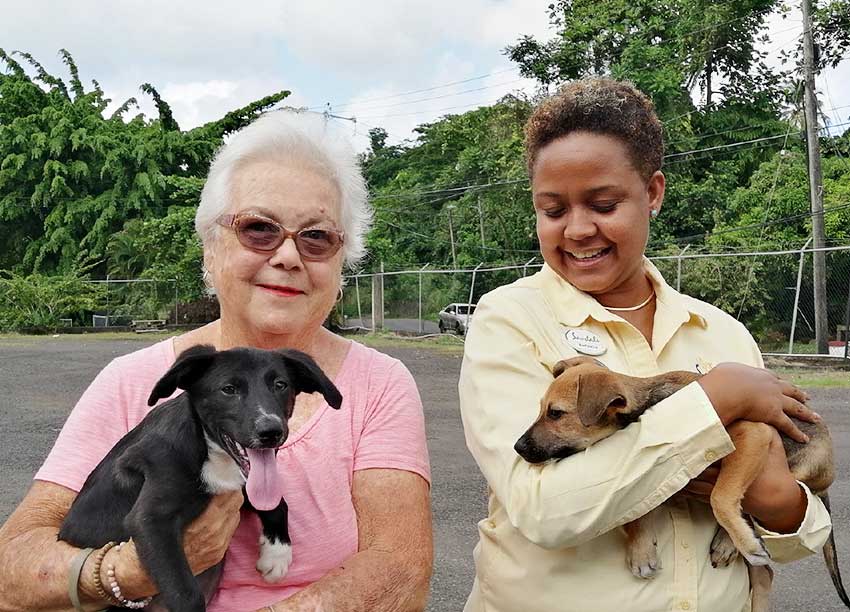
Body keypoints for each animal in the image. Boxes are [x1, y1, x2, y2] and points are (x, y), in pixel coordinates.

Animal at [56, 346, 342, 608]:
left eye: (280, 385)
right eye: (228, 389)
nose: (271, 431)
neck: (208, 449)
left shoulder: (238, 486)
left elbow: (276, 502)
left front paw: (277, 553)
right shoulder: (150, 520)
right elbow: (186, 594)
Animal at [512, 356, 844, 608]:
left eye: (556, 414)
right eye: (541, 409)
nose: (517, 447)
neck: (648, 403)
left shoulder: (753, 433)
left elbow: (721, 497)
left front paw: (741, 538)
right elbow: (637, 509)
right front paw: (641, 550)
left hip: (799, 469)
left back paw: (732, 541)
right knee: (763, 575)